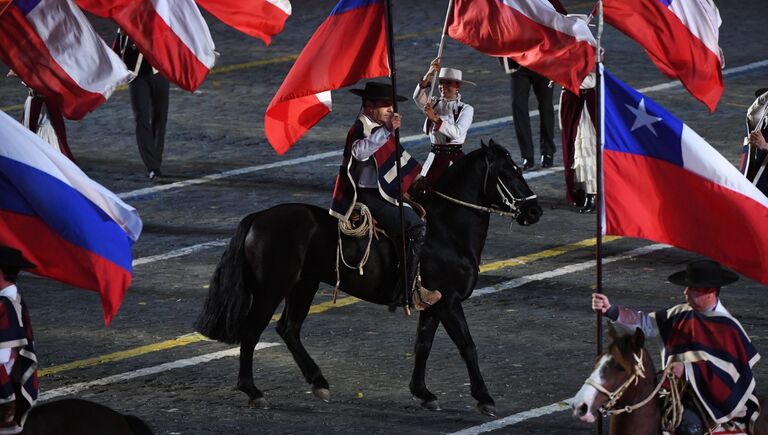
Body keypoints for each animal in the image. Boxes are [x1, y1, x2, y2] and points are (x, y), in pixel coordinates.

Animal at [195, 139, 544, 416]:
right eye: (509, 173)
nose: (535, 212)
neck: (447, 230)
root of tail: (258, 218)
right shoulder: (449, 301)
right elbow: (466, 345)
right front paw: (484, 398)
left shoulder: (433, 305)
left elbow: (423, 344)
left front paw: (423, 393)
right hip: (272, 291)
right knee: (252, 332)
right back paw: (253, 391)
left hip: (303, 286)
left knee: (289, 329)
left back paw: (319, 382)